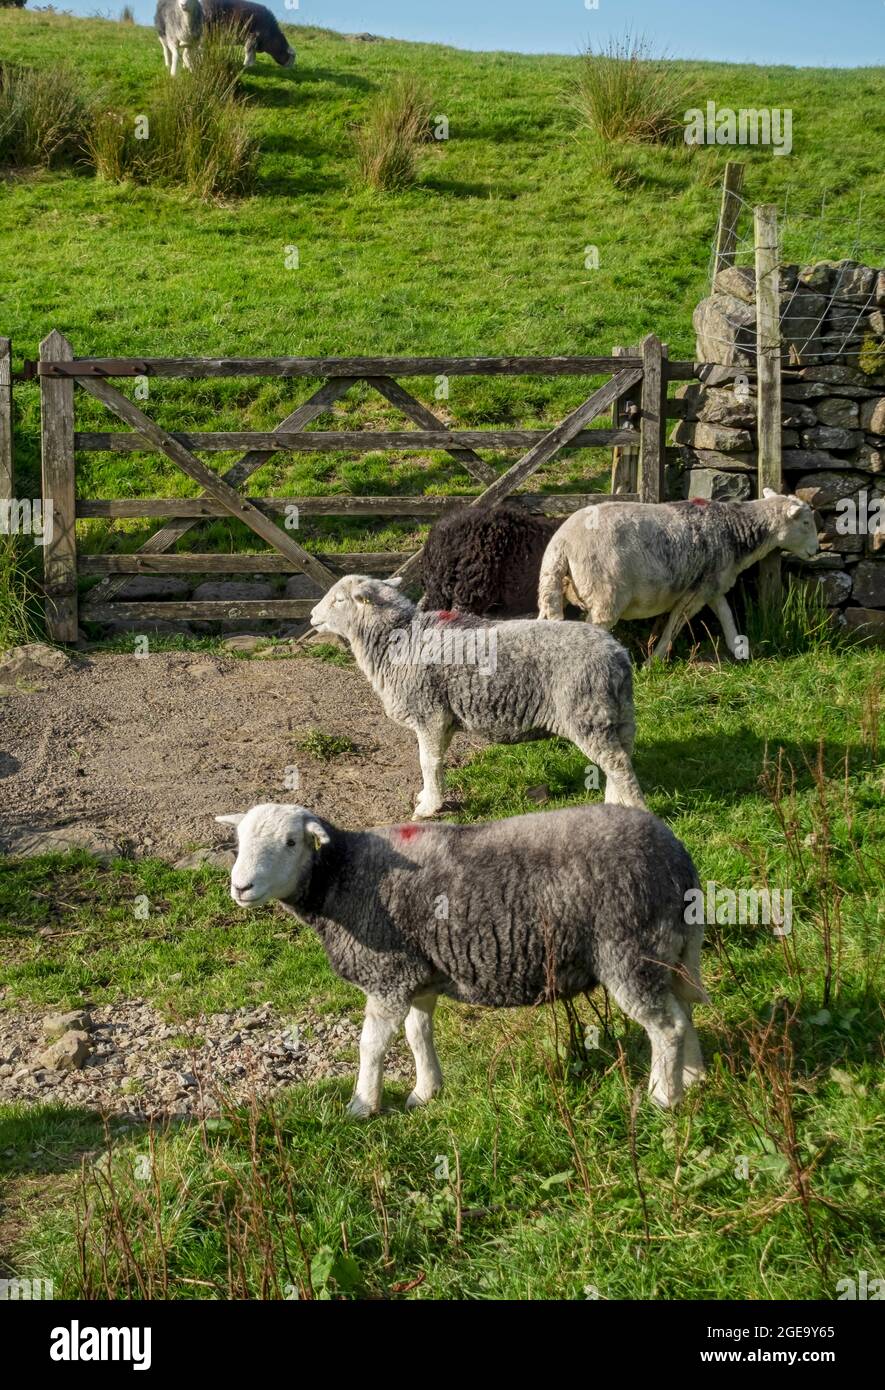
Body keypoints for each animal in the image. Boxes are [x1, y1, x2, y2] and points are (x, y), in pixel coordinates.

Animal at [222, 800, 711, 1112]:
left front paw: (362, 1106)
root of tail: (676, 855)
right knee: (683, 1011)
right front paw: (425, 1092)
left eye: (291, 842)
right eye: (238, 842)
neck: (341, 880)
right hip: (671, 951)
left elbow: (372, 1045)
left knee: (666, 1026)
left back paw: (663, 1098)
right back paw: (693, 1078)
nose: (240, 887)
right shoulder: (418, 973)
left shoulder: (388, 975)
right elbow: (418, 1034)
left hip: (630, 950)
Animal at [308, 572, 641, 811]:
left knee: (619, 767)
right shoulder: (444, 719)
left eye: (339, 600)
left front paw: (428, 808)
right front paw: (429, 795)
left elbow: (426, 761)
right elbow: (436, 760)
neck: (399, 639)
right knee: (620, 761)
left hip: (587, 714)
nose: (311, 615)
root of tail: (617, 655)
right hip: (617, 715)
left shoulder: (429, 712)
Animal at [536, 489, 816, 661]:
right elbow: (674, 625)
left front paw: (740, 650)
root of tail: (562, 543)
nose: (815, 550)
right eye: (805, 523)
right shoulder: (696, 593)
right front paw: (654, 662)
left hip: (553, 587)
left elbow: (725, 614)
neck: (733, 530)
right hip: (606, 596)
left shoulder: (711, 584)